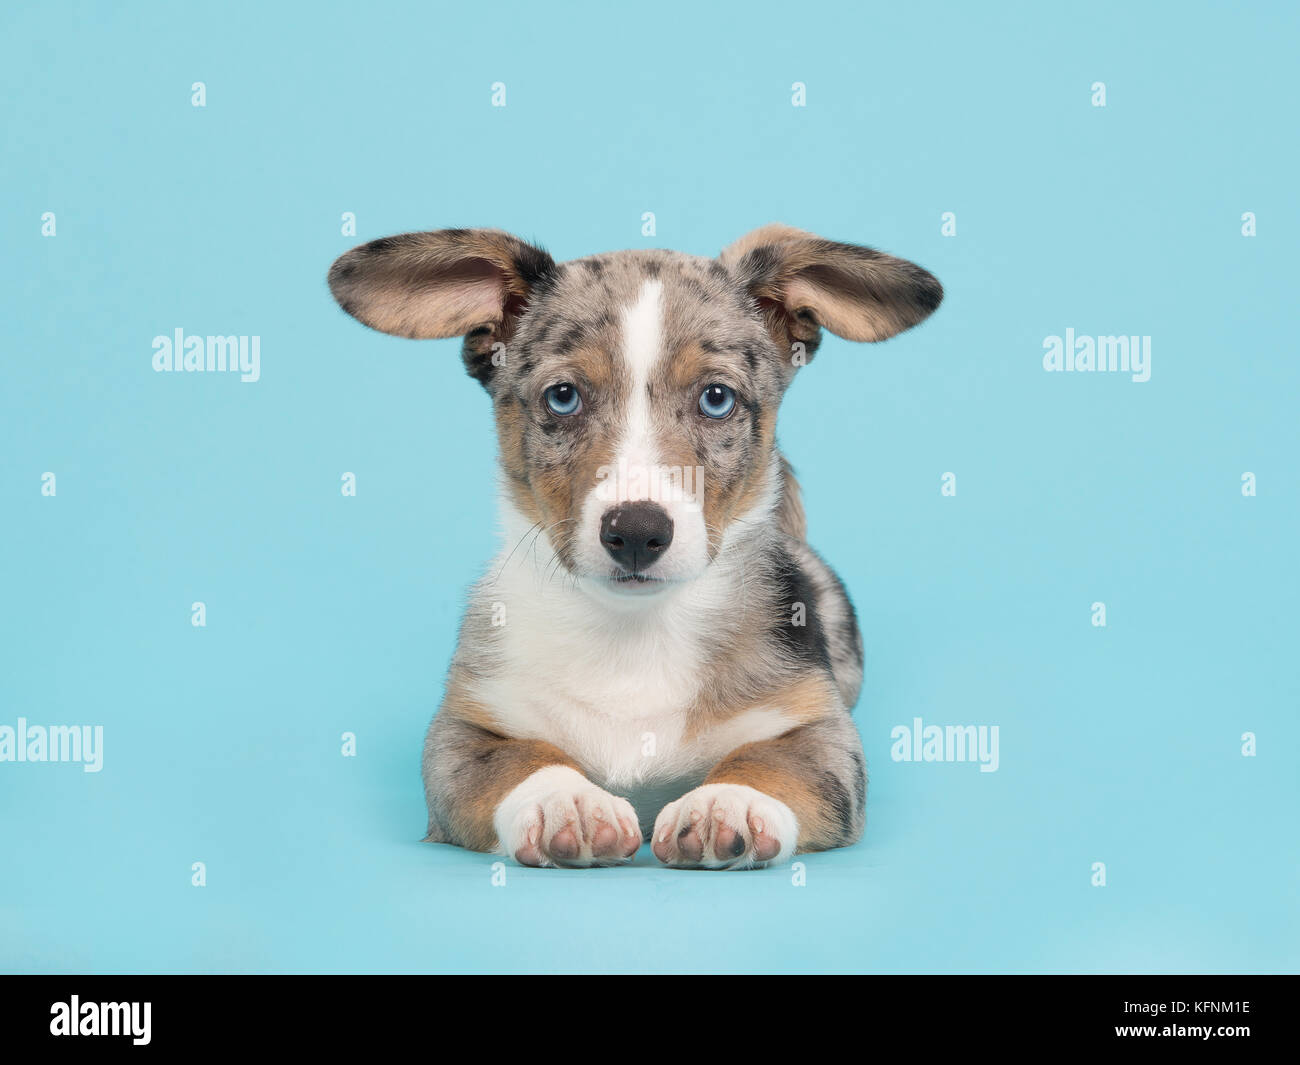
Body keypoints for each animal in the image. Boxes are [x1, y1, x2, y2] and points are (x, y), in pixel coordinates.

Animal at [330, 224, 941, 868]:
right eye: (563, 396)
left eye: (716, 398)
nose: (638, 532)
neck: (633, 631)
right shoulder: (462, 731)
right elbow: (519, 757)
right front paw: (567, 802)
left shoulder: (821, 732)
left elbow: (771, 760)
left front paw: (727, 802)